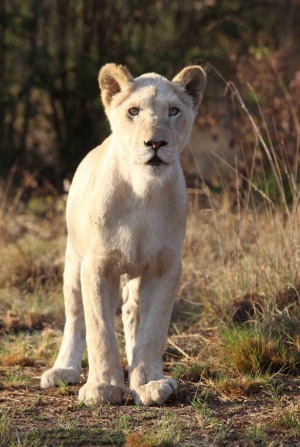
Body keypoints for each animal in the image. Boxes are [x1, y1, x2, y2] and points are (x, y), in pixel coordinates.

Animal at [40, 62, 206, 406]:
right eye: (133, 111)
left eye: (173, 111)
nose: (155, 143)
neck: (143, 190)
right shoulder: (97, 265)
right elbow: (99, 329)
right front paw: (103, 387)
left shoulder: (165, 266)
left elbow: (153, 329)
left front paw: (149, 383)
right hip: (72, 261)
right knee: (75, 317)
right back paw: (62, 370)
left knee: (132, 313)